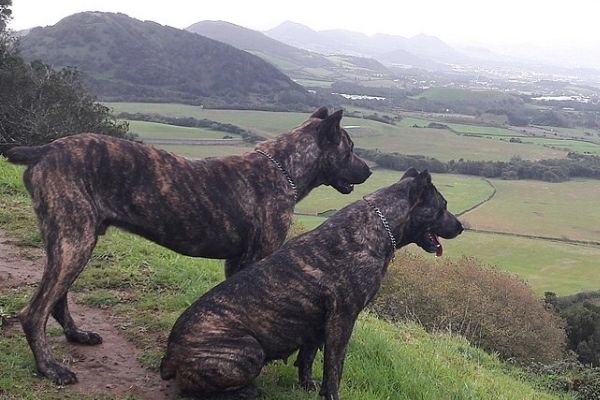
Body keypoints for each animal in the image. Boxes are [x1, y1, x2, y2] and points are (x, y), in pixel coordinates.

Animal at [4, 106, 372, 384]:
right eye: (350, 147)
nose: (369, 171)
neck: (283, 168)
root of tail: (45, 149)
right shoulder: (261, 258)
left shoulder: (237, 263)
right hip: (75, 242)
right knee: (34, 312)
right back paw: (49, 368)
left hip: (70, 241)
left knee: (56, 299)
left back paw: (76, 336)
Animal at [159, 167, 464, 398]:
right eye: (443, 207)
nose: (461, 227)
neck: (379, 225)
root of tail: (169, 355)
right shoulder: (342, 320)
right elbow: (334, 368)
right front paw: (330, 395)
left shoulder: (318, 324)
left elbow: (307, 358)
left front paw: (306, 385)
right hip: (248, 350)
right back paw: (246, 391)